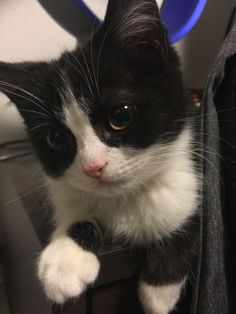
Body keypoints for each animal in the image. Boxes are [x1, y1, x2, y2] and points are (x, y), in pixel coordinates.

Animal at [0, 0, 201, 314]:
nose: (94, 167)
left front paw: (159, 293)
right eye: (57, 138)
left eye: (121, 116)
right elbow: (74, 209)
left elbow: (190, 223)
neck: (126, 200)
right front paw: (64, 263)